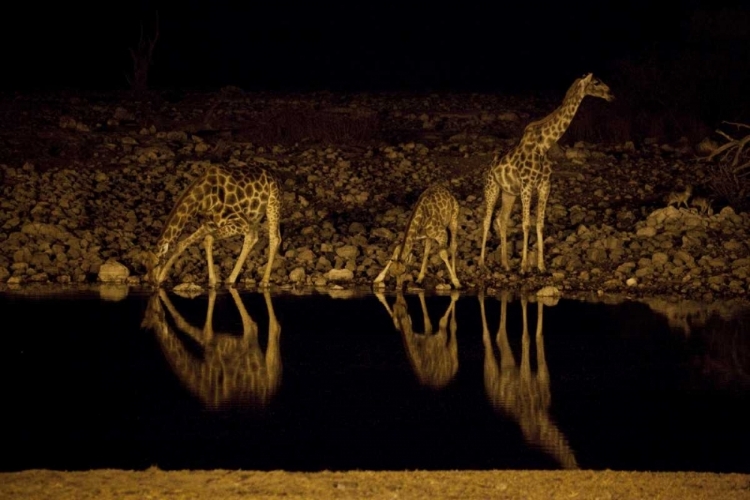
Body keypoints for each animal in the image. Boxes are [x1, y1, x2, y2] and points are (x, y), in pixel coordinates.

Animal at [141, 290, 282, 410]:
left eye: (152, 311)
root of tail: (269, 386)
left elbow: (191, 327)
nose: (153, 302)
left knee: (254, 327)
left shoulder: (214, 346)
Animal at [144, 164, 282, 288]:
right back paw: (231, 279)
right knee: (253, 238)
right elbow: (181, 244)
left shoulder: (241, 223)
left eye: (156, 264)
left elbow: (208, 239)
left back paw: (264, 281)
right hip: (254, 216)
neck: (204, 199)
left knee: (274, 238)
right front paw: (162, 277)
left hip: (272, 204)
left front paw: (212, 281)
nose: (152, 282)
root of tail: (272, 175)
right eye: (146, 265)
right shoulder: (209, 224)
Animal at [482, 73, 616, 274]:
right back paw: (481, 263)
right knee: (486, 219)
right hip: (492, 189)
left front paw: (541, 266)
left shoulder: (545, 185)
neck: (544, 145)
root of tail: (490, 166)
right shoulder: (527, 185)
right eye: (596, 82)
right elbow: (526, 223)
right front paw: (524, 267)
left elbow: (540, 224)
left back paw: (505, 264)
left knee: (501, 219)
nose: (611, 95)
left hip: (508, 193)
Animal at [482, 292, 580, 470]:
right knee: (487, 339)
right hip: (491, 370)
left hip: (508, 366)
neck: (540, 418)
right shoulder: (525, 376)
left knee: (501, 336)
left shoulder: (543, 376)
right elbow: (526, 337)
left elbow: (539, 335)